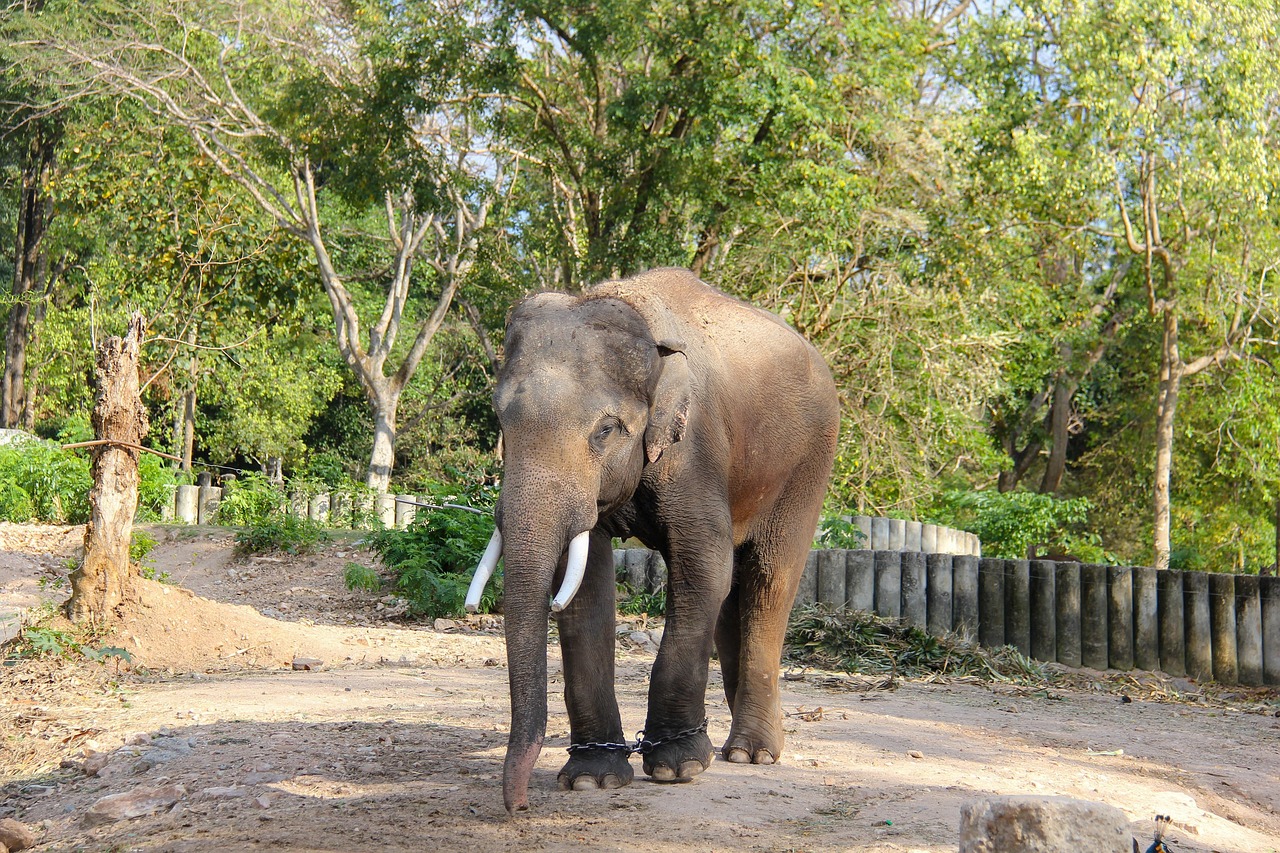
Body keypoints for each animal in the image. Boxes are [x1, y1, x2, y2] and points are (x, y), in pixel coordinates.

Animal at [467, 268, 840, 813]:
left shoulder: (695, 449)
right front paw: (592, 778)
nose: (518, 806)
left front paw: (676, 766)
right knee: (733, 593)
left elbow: (702, 565)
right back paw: (738, 744)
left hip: (809, 462)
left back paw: (752, 753)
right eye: (501, 420)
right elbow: (583, 588)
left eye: (605, 430)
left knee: (768, 580)